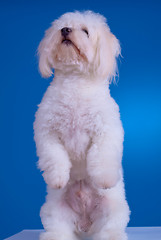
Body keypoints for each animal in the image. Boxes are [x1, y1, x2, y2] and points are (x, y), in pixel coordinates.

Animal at [33, 9, 130, 240]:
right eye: (62, 27)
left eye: (85, 31)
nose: (66, 30)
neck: (75, 81)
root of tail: (85, 227)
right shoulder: (47, 131)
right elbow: (54, 157)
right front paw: (57, 178)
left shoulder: (106, 130)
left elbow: (103, 157)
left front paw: (104, 180)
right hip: (53, 210)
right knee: (58, 227)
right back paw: (54, 236)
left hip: (115, 209)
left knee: (110, 228)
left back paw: (112, 236)